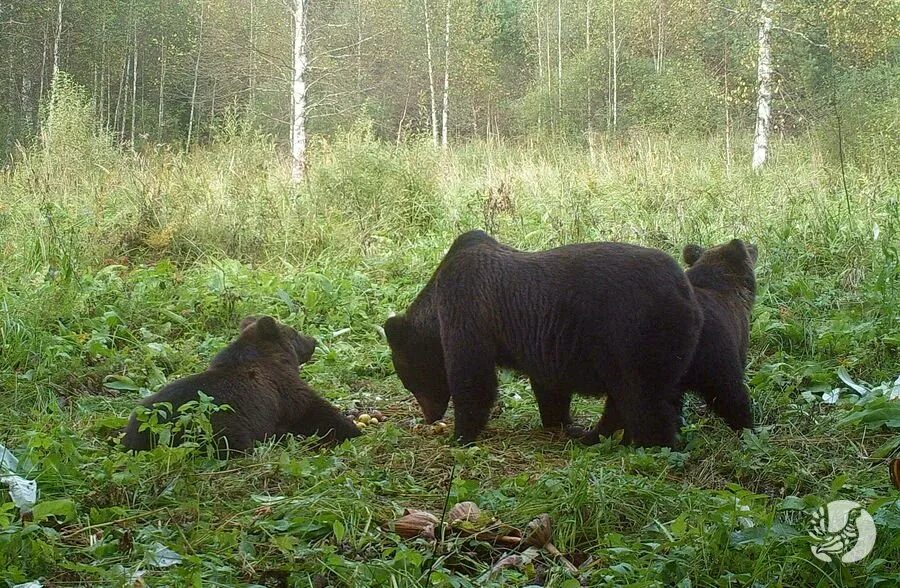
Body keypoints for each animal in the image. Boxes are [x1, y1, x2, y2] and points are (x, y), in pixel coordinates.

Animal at [121, 314, 360, 452]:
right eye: (294, 332)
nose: (313, 341)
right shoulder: (283, 390)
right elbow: (314, 408)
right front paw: (351, 429)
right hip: (212, 426)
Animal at [384, 230, 708, 446]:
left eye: (408, 380)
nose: (430, 416)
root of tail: (685, 292)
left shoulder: (469, 308)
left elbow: (473, 377)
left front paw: (459, 434)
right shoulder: (547, 343)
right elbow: (550, 386)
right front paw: (557, 421)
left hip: (634, 333)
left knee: (641, 397)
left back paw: (650, 444)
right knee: (628, 397)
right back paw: (594, 435)